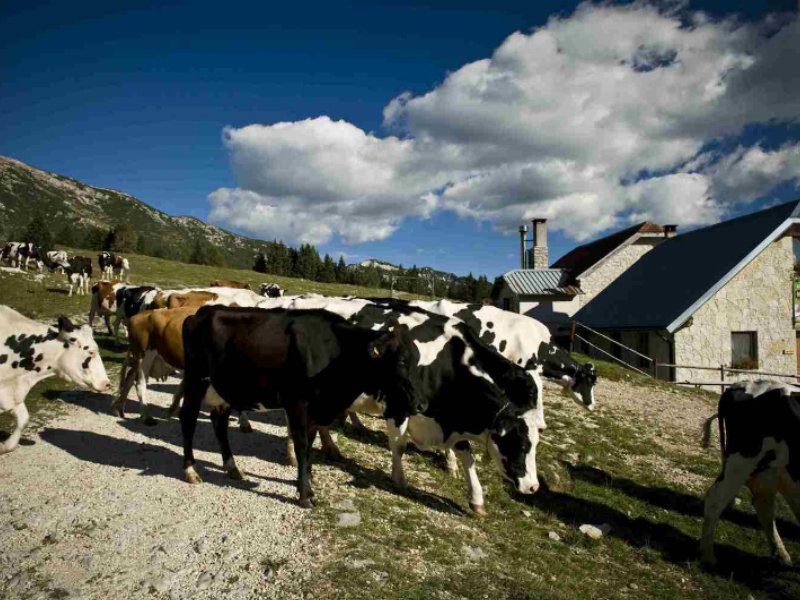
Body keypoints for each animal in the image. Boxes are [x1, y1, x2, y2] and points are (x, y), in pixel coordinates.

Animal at [700, 382, 800, 564]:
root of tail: (739, 385)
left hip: (770, 471)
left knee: (764, 506)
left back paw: (781, 553)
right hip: (741, 461)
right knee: (715, 499)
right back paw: (708, 555)